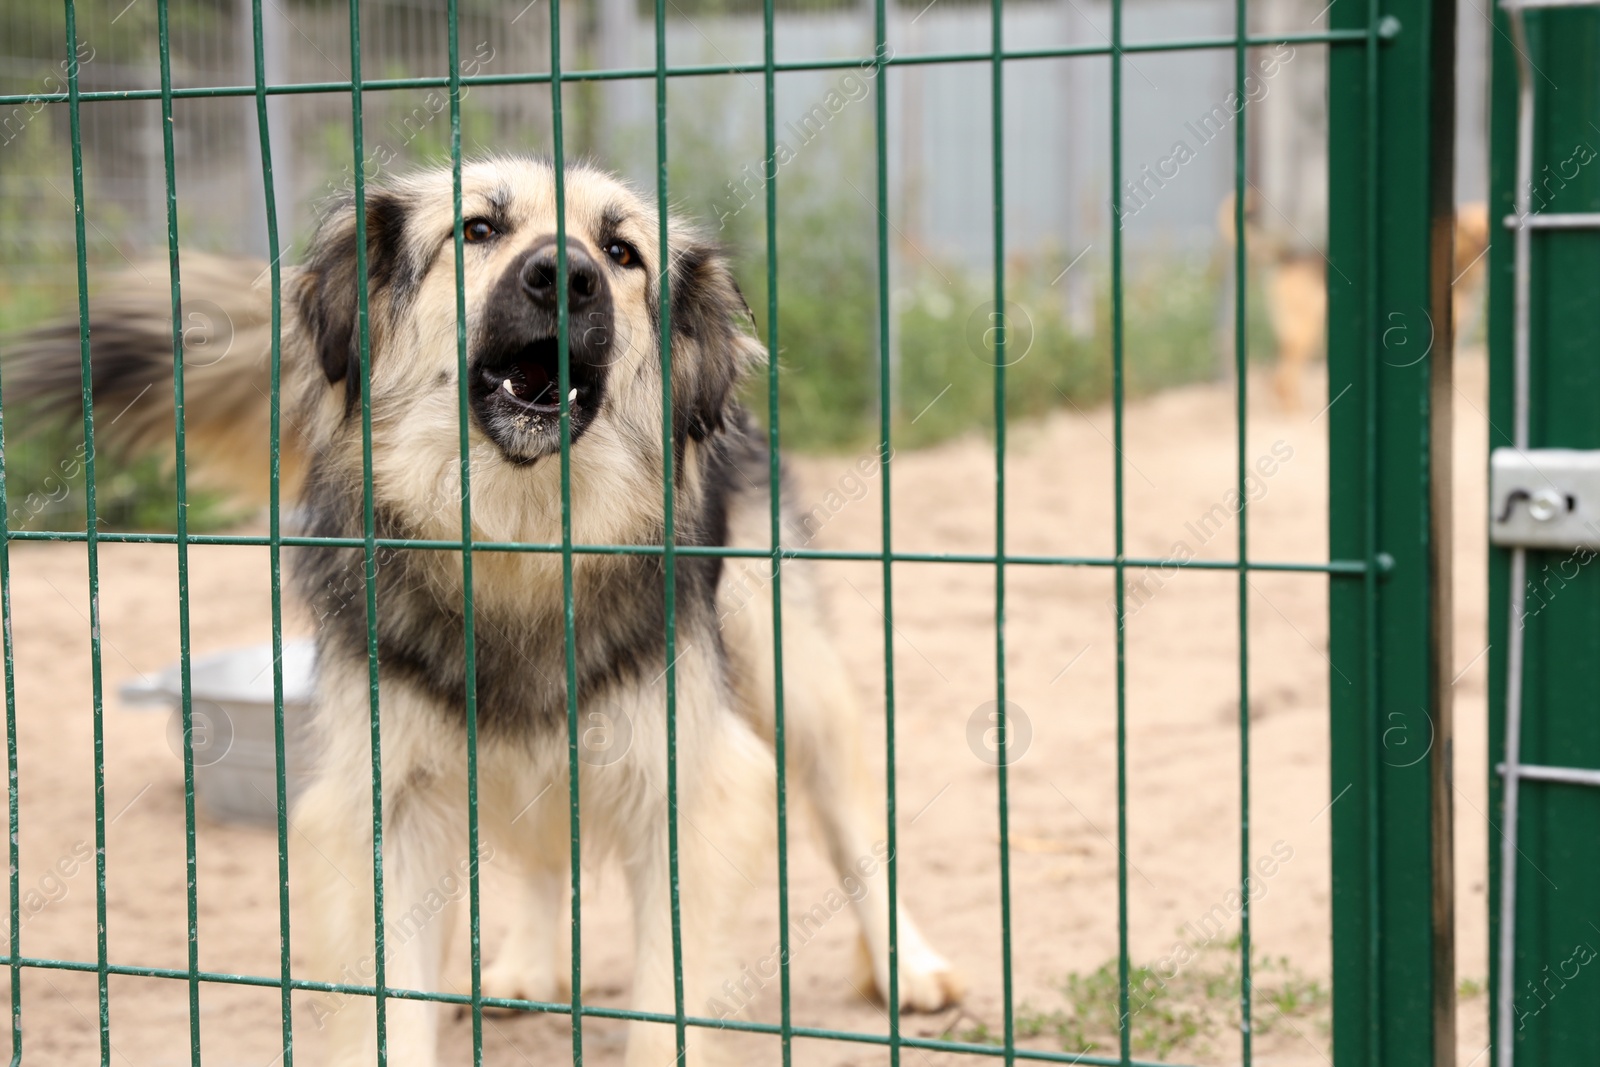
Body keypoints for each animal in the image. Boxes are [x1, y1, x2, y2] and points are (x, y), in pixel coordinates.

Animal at [6, 154, 953, 1062]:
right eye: (478, 230)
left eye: (623, 254)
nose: (566, 274)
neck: (517, 542)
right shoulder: (386, 805)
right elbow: (392, 1008)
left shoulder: (693, 786)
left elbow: (668, 1009)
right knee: (543, 849)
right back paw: (528, 965)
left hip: (785, 665)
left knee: (851, 826)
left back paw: (910, 968)